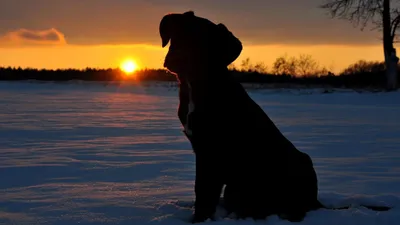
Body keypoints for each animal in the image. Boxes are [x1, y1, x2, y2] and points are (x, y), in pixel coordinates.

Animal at [159, 11, 390, 223]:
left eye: (204, 43)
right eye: (179, 34)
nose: (177, 59)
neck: (196, 84)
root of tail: (314, 201)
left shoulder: (211, 152)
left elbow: (205, 193)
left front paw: (198, 219)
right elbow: (201, 190)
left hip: (295, 166)